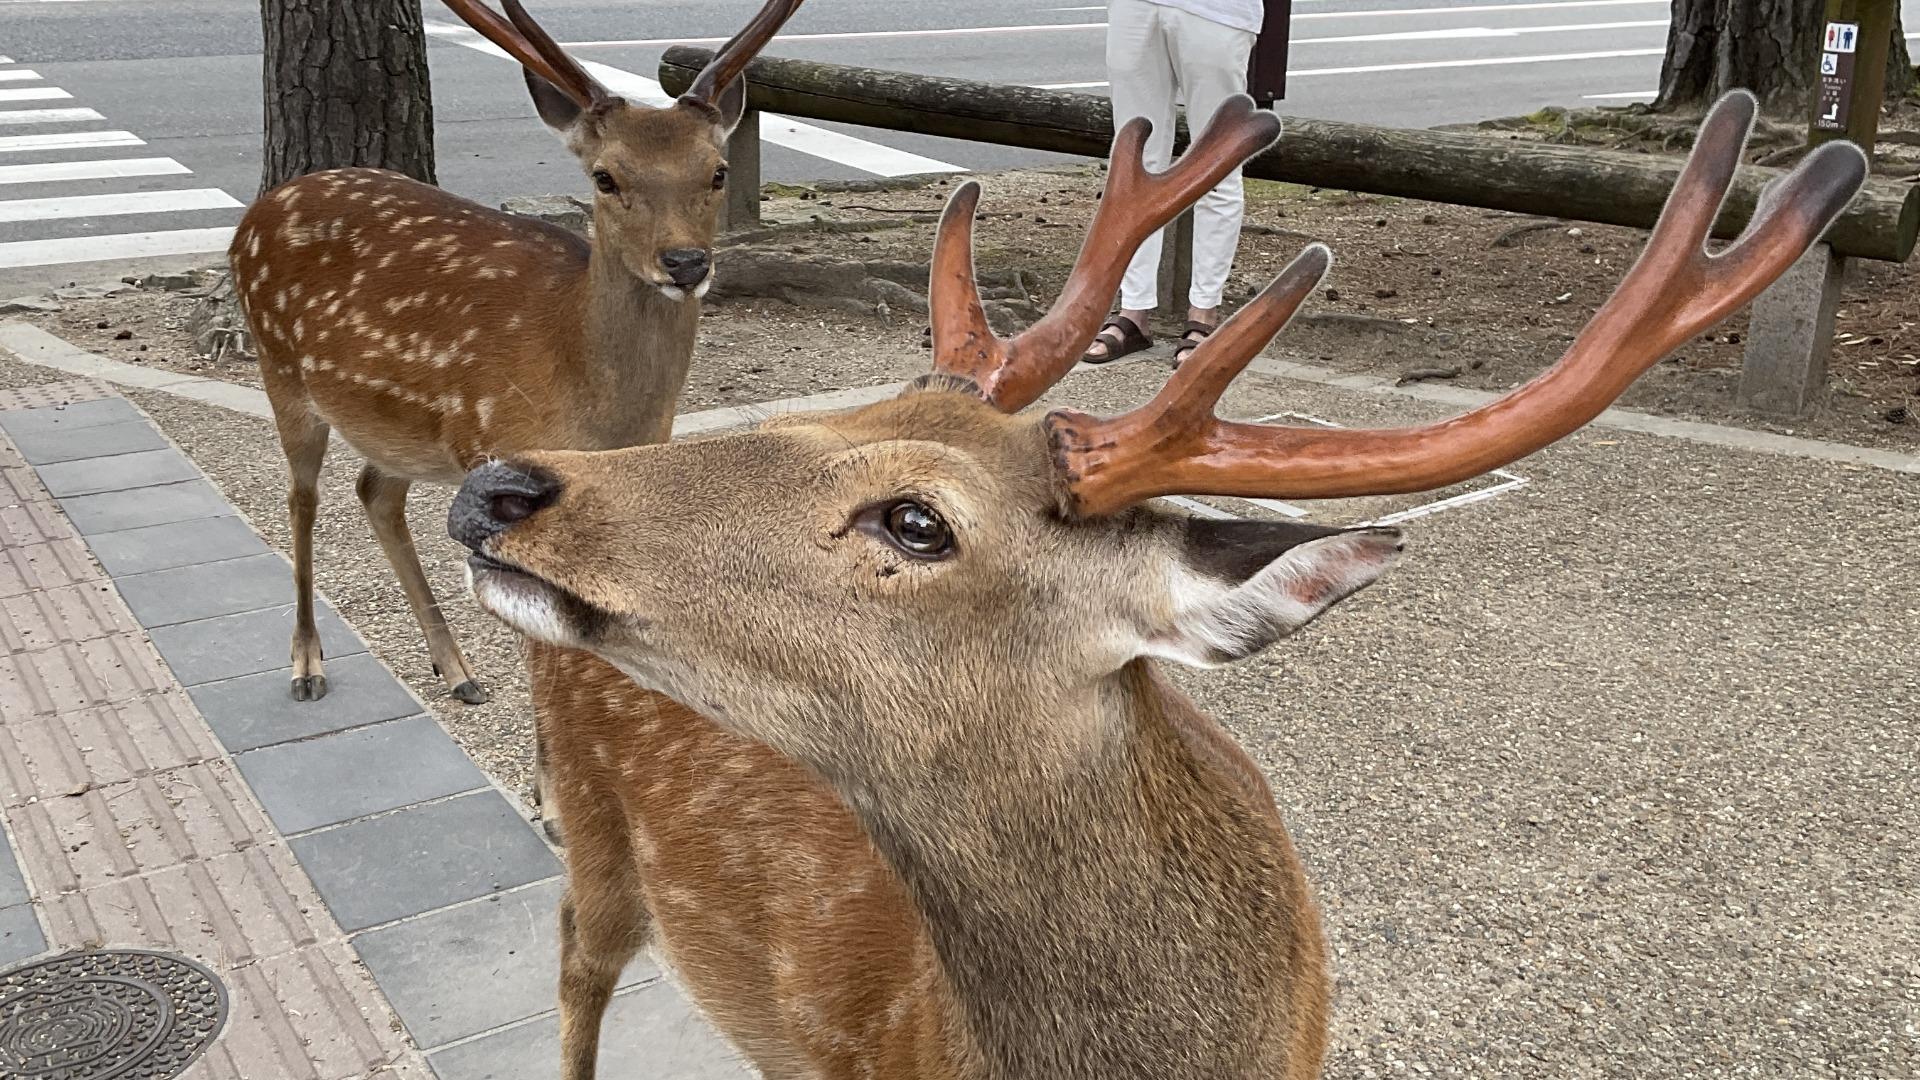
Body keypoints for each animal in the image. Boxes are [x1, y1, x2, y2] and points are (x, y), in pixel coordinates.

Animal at [230, 0, 802, 703]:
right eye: (605, 177)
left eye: (716, 172)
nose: (686, 262)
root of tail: (254, 213)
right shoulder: (493, 447)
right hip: (279, 365)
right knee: (302, 498)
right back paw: (308, 664)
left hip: (399, 423)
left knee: (374, 490)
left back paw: (456, 671)